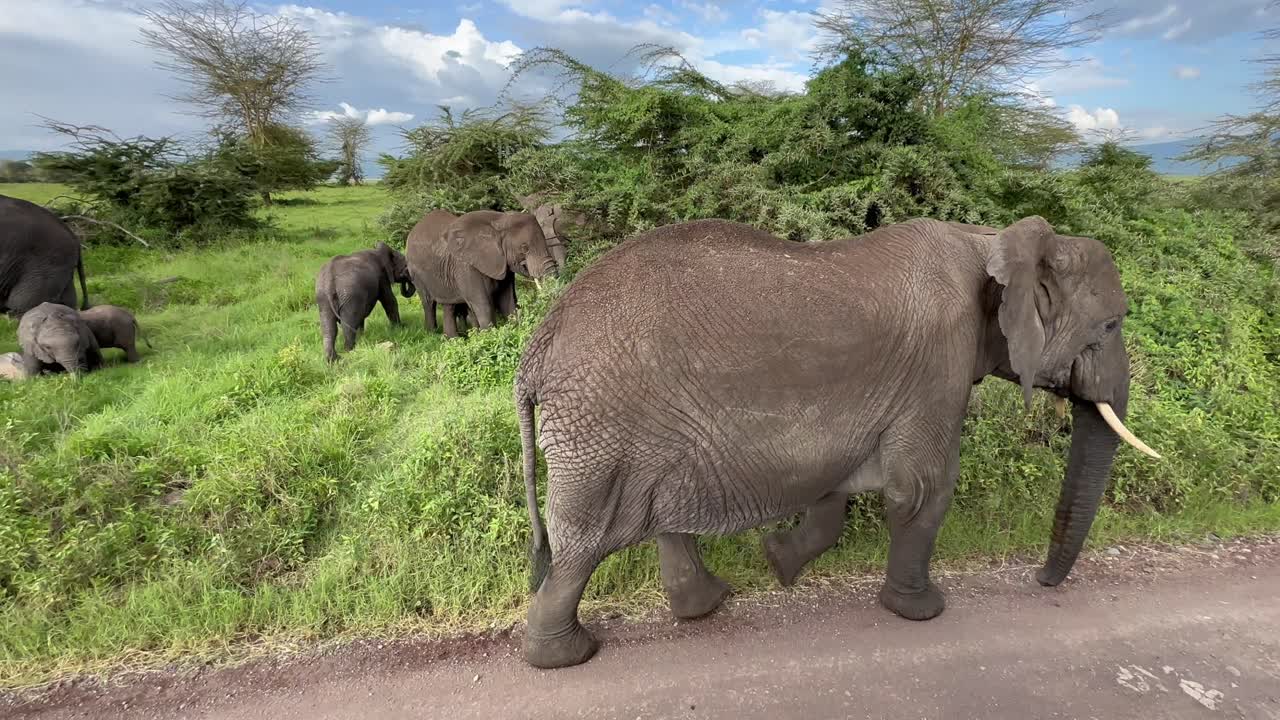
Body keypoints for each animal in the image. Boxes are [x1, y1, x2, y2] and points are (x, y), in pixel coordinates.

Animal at [405, 209, 558, 338]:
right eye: (524, 248)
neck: (500, 221)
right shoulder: (466, 266)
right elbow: (482, 304)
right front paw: (489, 337)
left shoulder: (502, 264)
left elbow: (507, 301)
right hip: (416, 273)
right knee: (428, 303)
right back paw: (432, 334)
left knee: (449, 305)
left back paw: (454, 340)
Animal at [513, 216, 1160, 669]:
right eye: (1110, 326)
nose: (1044, 584)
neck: (990, 240)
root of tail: (539, 345)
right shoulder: (939, 361)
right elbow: (921, 489)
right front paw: (921, 613)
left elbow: (839, 485)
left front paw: (779, 563)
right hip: (602, 425)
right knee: (585, 542)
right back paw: (564, 657)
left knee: (656, 514)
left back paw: (707, 605)